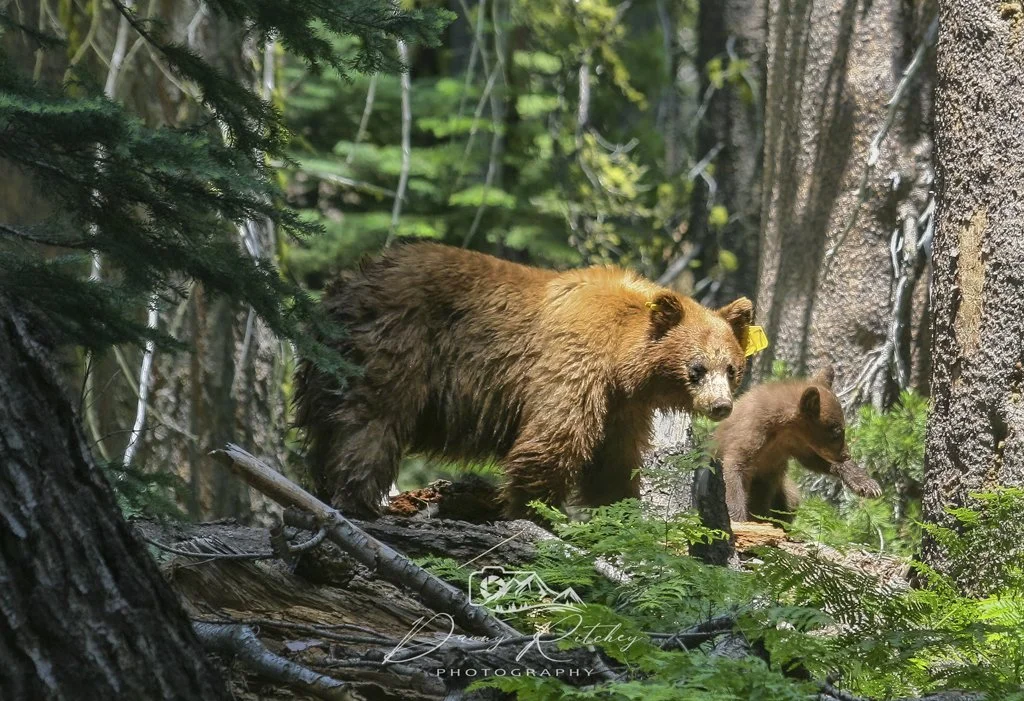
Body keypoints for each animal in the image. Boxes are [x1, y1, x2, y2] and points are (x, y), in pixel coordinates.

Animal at [294, 242, 754, 519]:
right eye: (696, 368)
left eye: (731, 368)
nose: (721, 406)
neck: (622, 359)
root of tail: (347, 285)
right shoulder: (573, 364)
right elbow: (554, 440)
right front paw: (536, 513)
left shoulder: (621, 406)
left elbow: (614, 462)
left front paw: (617, 513)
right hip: (395, 344)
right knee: (369, 422)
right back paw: (360, 500)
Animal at [716, 366, 883, 524]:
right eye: (837, 432)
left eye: (842, 428)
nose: (846, 455)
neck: (781, 430)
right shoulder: (748, 434)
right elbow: (734, 469)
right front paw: (737, 518)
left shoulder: (795, 444)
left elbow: (814, 459)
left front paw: (868, 484)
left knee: (789, 502)